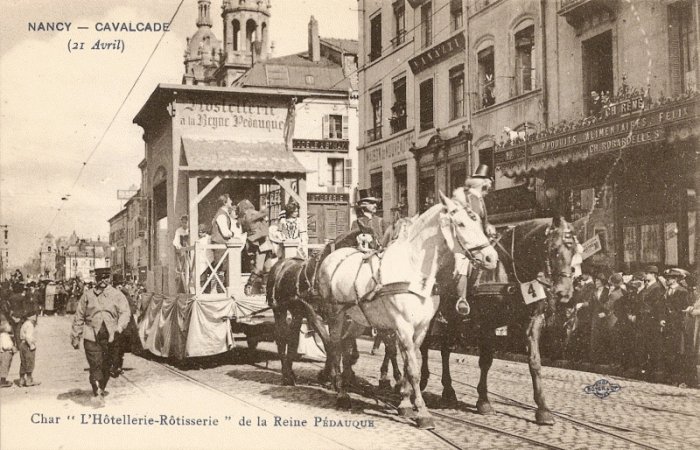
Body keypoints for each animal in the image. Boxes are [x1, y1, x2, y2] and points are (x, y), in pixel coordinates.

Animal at [318, 190, 498, 428]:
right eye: (460, 223)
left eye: (477, 221)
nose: (491, 258)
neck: (414, 270)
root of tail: (331, 257)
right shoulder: (402, 326)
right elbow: (412, 369)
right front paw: (422, 412)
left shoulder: (421, 328)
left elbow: (408, 364)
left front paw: (404, 404)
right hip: (335, 315)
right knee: (336, 346)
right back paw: (341, 394)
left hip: (358, 319)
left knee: (347, 345)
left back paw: (346, 381)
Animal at [422, 216, 580, 424]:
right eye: (554, 249)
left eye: (574, 251)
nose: (564, 293)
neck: (508, 269)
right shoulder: (487, 322)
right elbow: (486, 361)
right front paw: (484, 401)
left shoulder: (533, 320)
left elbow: (534, 361)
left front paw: (543, 409)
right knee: (423, 345)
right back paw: (421, 380)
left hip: (453, 318)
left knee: (445, 350)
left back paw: (448, 391)